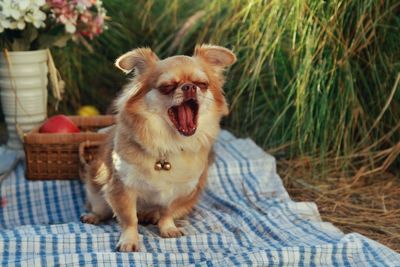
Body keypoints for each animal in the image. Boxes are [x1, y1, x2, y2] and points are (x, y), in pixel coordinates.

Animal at [80, 45, 234, 252]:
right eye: (166, 87)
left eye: (201, 84)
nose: (189, 87)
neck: (168, 144)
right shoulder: (121, 187)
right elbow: (129, 218)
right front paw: (129, 240)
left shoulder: (179, 191)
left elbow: (167, 211)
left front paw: (167, 228)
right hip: (95, 189)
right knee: (100, 208)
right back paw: (93, 216)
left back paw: (151, 216)